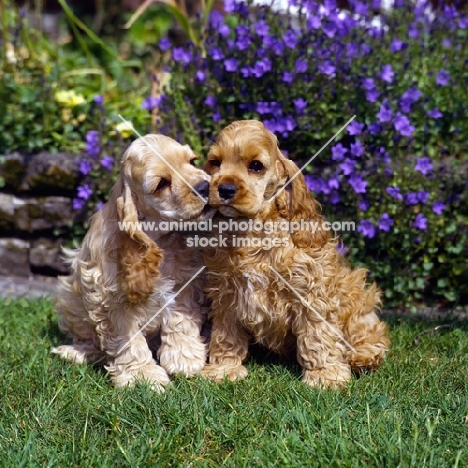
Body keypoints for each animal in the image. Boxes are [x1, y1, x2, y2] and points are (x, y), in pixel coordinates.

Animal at [51, 134, 212, 392]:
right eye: (161, 184)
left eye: (192, 161)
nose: (205, 187)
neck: (160, 239)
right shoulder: (111, 298)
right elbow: (128, 340)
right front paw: (143, 375)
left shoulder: (186, 282)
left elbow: (180, 319)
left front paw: (184, 358)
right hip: (70, 299)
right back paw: (75, 352)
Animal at [203, 119, 390, 388]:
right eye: (215, 162)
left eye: (256, 166)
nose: (225, 189)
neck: (252, 233)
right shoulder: (226, 294)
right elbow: (225, 333)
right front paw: (224, 368)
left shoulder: (312, 293)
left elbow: (318, 335)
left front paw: (325, 376)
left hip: (357, 298)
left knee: (371, 335)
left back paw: (363, 359)